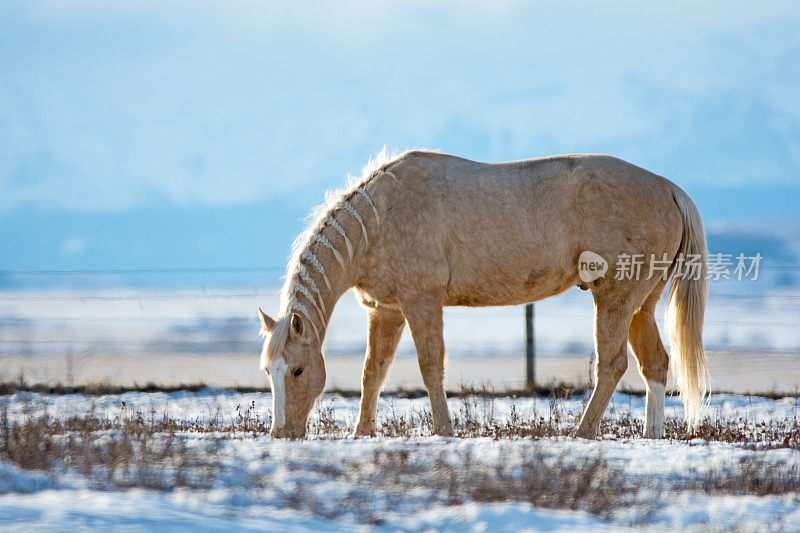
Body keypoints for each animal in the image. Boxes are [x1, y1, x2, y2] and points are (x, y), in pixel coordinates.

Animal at [258, 150, 708, 436]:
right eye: (268, 371)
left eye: (297, 370)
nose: (282, 434)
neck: (380, 217)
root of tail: (669, 188)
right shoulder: (385, 309)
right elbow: (374, 371)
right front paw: (362, 433)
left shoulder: (421, 301)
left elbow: (430, 366)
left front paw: (444, 430)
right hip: (641, 304)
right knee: (655, 363)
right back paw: (651, 437)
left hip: (615, 297)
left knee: (612, 366)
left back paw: (581, 433)